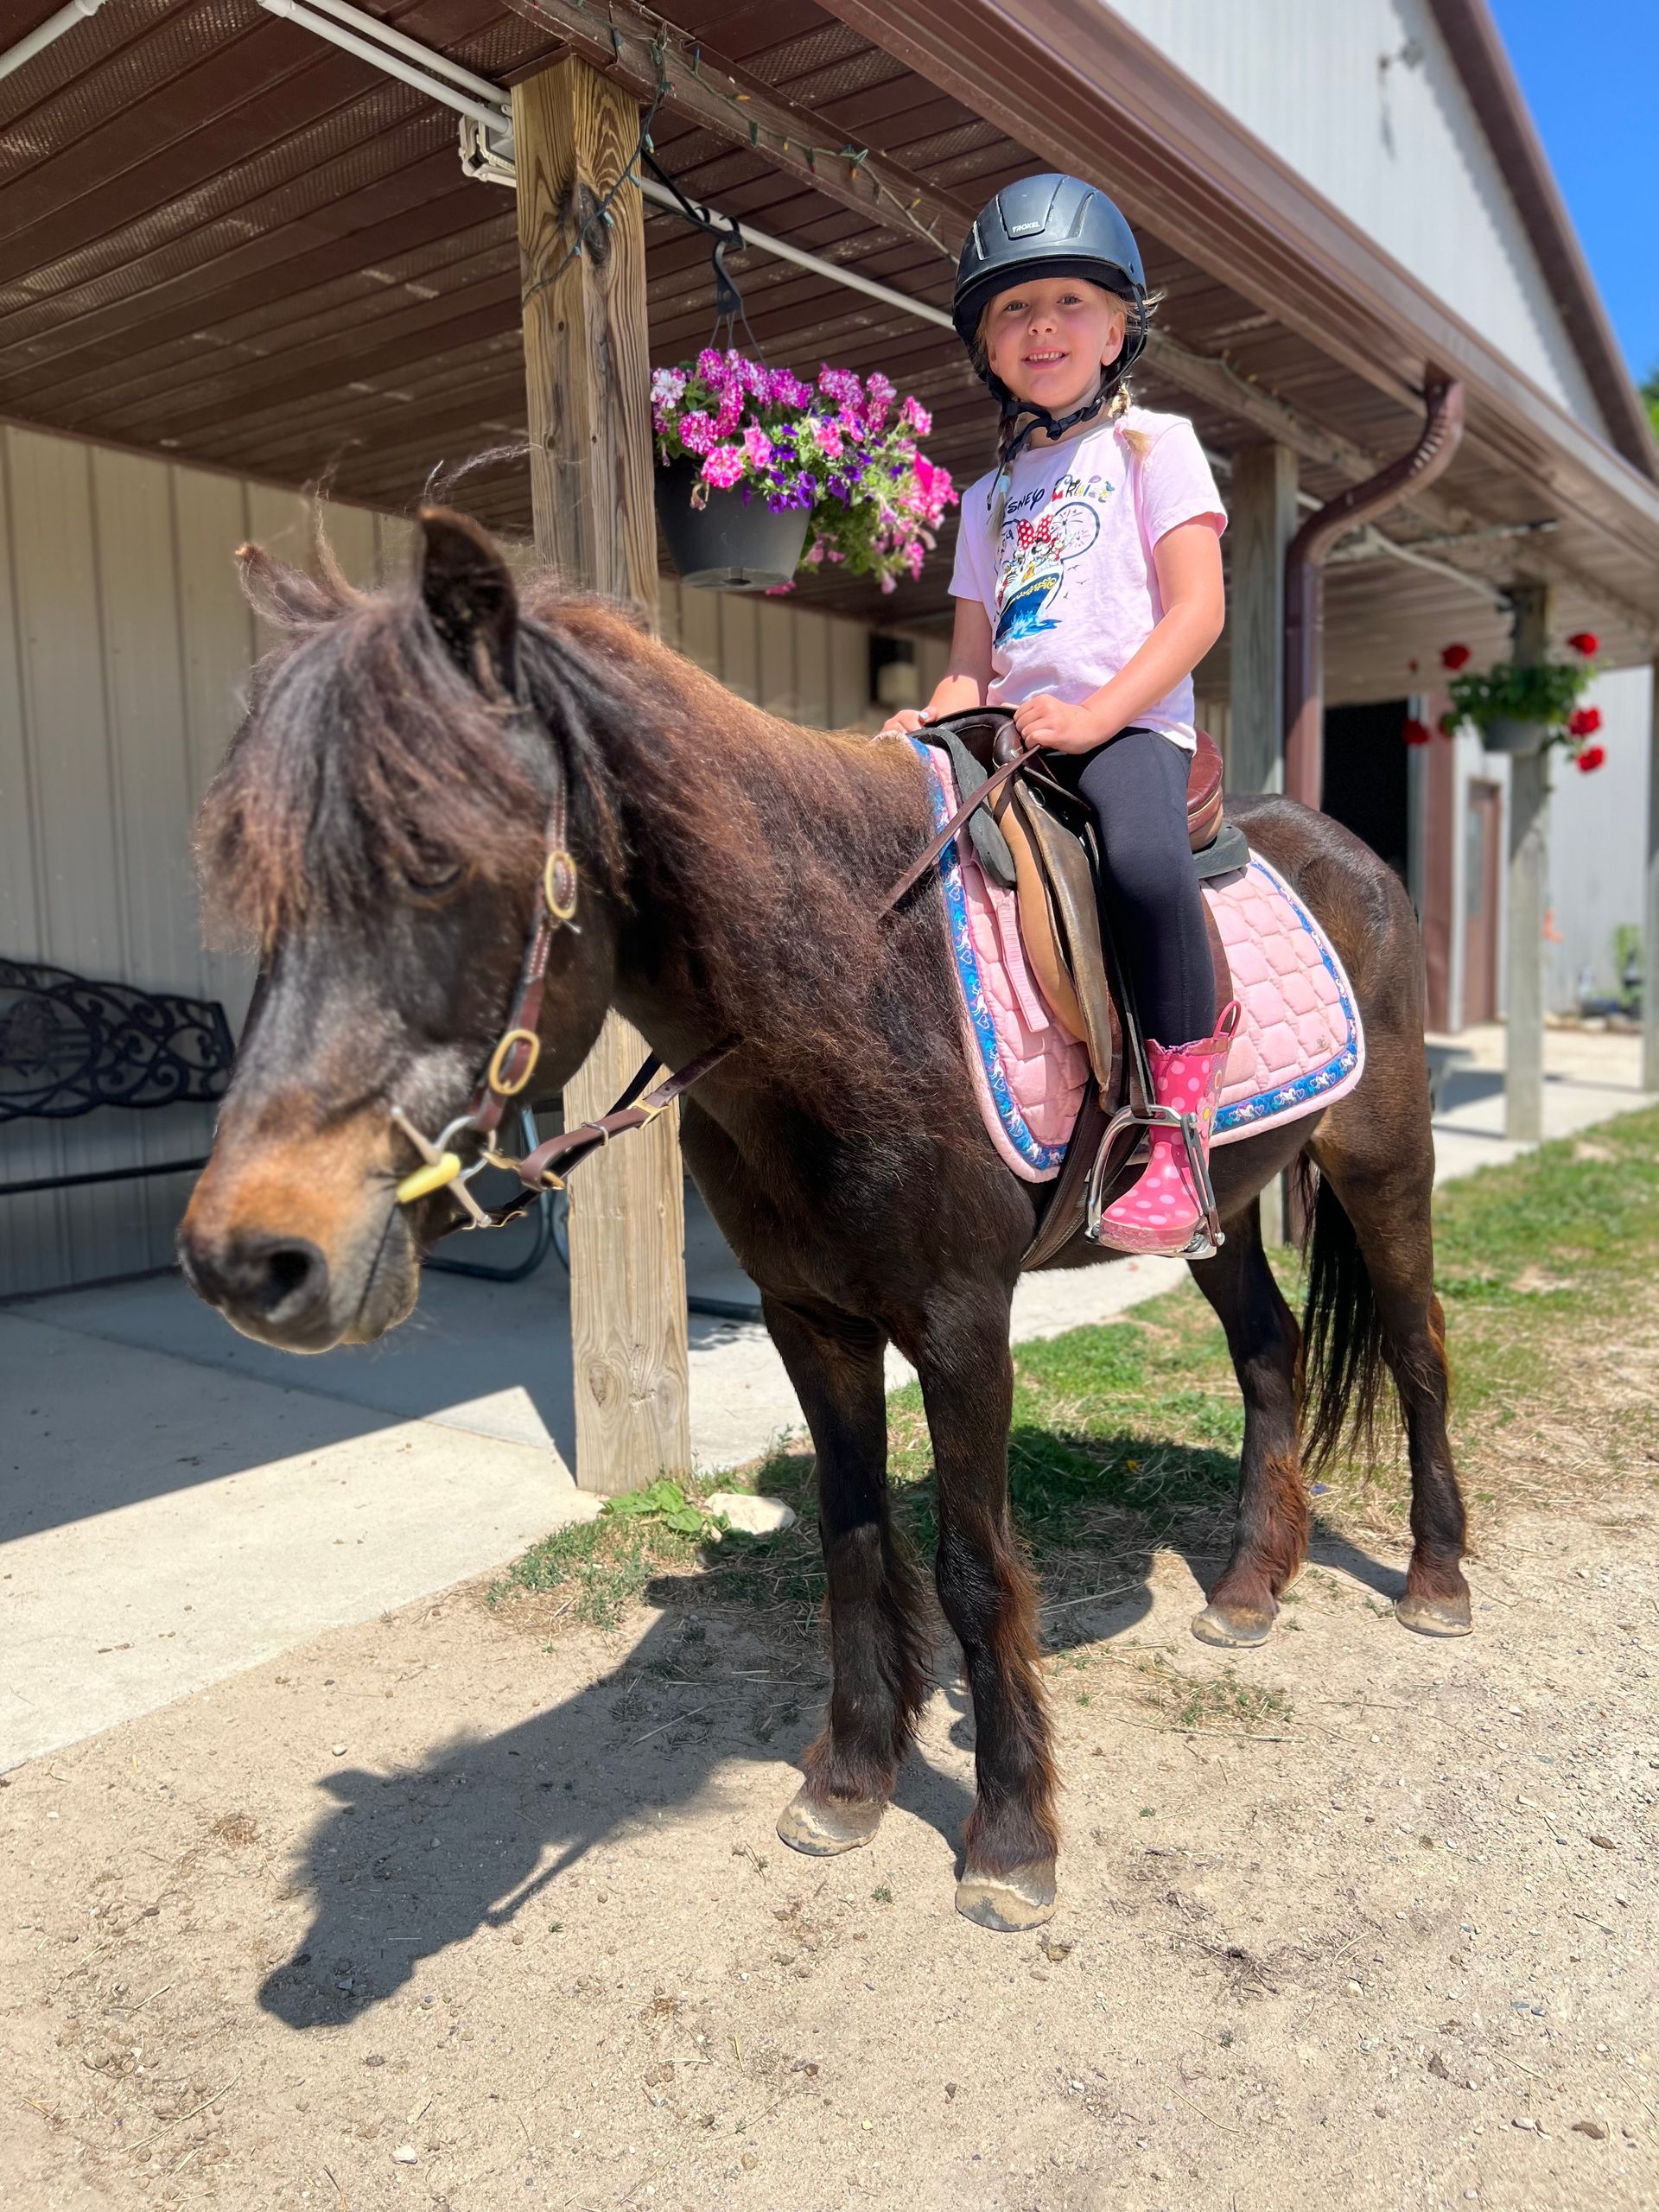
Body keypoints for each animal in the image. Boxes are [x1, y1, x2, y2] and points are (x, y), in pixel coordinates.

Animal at [178, 508, 1470, 1934]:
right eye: (259, 885)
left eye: (436, 862)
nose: (249, 1260)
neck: (848, 995)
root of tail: (1352, 855)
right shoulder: (811, 1319)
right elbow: (852, 1549)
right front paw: (851, 1781)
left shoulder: (962, 1327)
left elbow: (972, 1565)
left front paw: (1009, 1839)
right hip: (1224, 1208)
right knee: (1267, 1352)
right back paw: (1247, 1591)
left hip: (1383, 1164)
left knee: (1417, 1350)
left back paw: (1437, 1584)